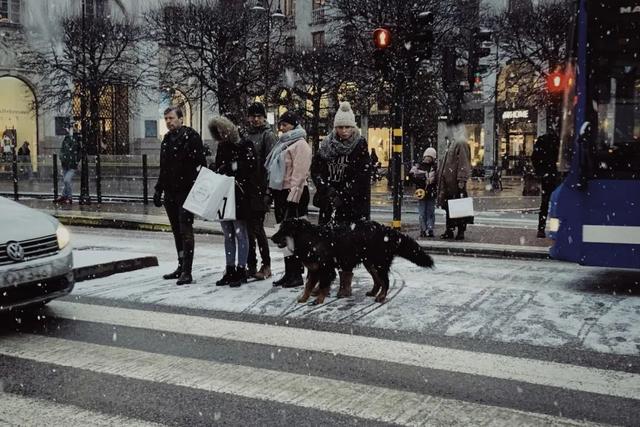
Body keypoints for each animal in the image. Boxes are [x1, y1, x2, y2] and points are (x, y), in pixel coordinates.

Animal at [270, 219, 436, 306]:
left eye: (283, 230)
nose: (271, 237)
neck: (309, 238)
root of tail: (388, 231)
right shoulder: (314, 269)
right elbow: (308, 286)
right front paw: (304, 298)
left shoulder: (326, 269)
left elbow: (323, 286)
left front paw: (319, 299)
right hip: (370, 263)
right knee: (378, 280)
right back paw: (374, 292)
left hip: (379, 263)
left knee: (386, 281)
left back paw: (381, 297)